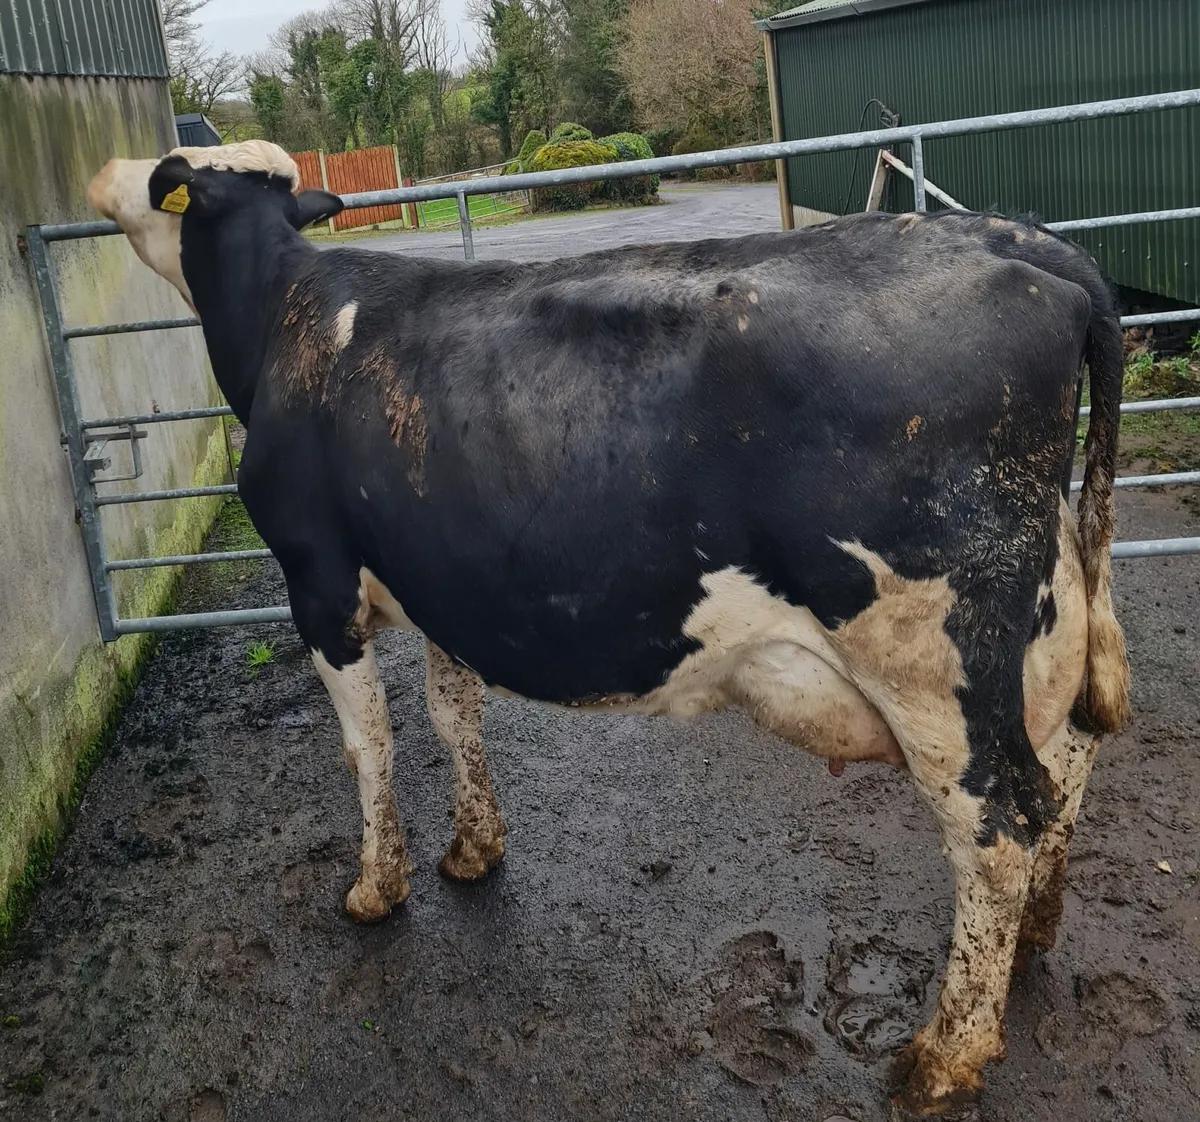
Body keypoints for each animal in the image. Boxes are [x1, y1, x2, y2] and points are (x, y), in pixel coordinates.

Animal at [87, 140, 1130, 1114]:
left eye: (171, 175)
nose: (106, 171)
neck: (290, 316)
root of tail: (1021, 243)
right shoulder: (442, 580)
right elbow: (451, 714)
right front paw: (474, 848)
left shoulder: (316, 581)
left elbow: (369, 742)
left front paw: (377, 887)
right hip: (1041, 618)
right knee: (1072, 756)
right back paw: (1035, 935)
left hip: (932, 655)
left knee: (998, 826)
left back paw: (945, 1054)